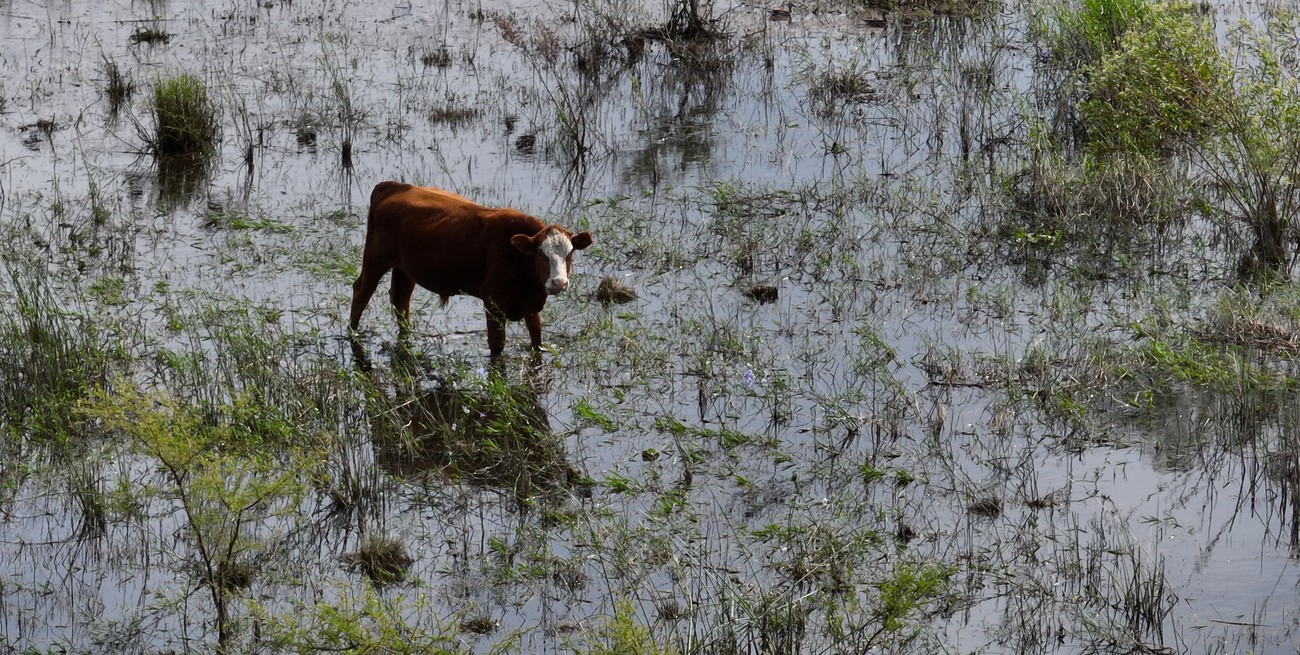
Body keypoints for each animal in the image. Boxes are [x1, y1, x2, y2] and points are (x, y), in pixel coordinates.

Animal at [349, 181, 592, 357]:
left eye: (570, 254)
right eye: (541, 254)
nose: (559, 283)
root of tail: (393, 186)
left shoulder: (532, 307)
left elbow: (537, 340)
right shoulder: (493, 303)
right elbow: (497, 347)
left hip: (405, 268)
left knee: (401, 299)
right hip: (375, 259)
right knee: (362, 291)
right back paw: (353, 332)